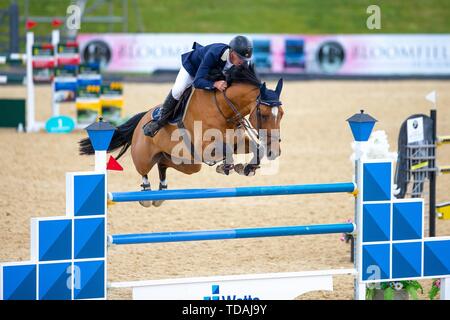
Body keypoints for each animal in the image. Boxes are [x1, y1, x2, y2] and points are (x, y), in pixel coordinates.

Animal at [79, 65, 284, 208]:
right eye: (263, 114)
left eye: (281, 114)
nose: (275, 151)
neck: (224, 108)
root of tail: (143, 118)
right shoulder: (204, 146)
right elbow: (224, 149)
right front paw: (228, 166)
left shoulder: (237, 141)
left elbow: (255, 148)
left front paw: (247, 167)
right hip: (144, 155)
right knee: (144, 170)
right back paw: (147, 195)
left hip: (189, 163)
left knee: (163, 163)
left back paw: (161, 192)